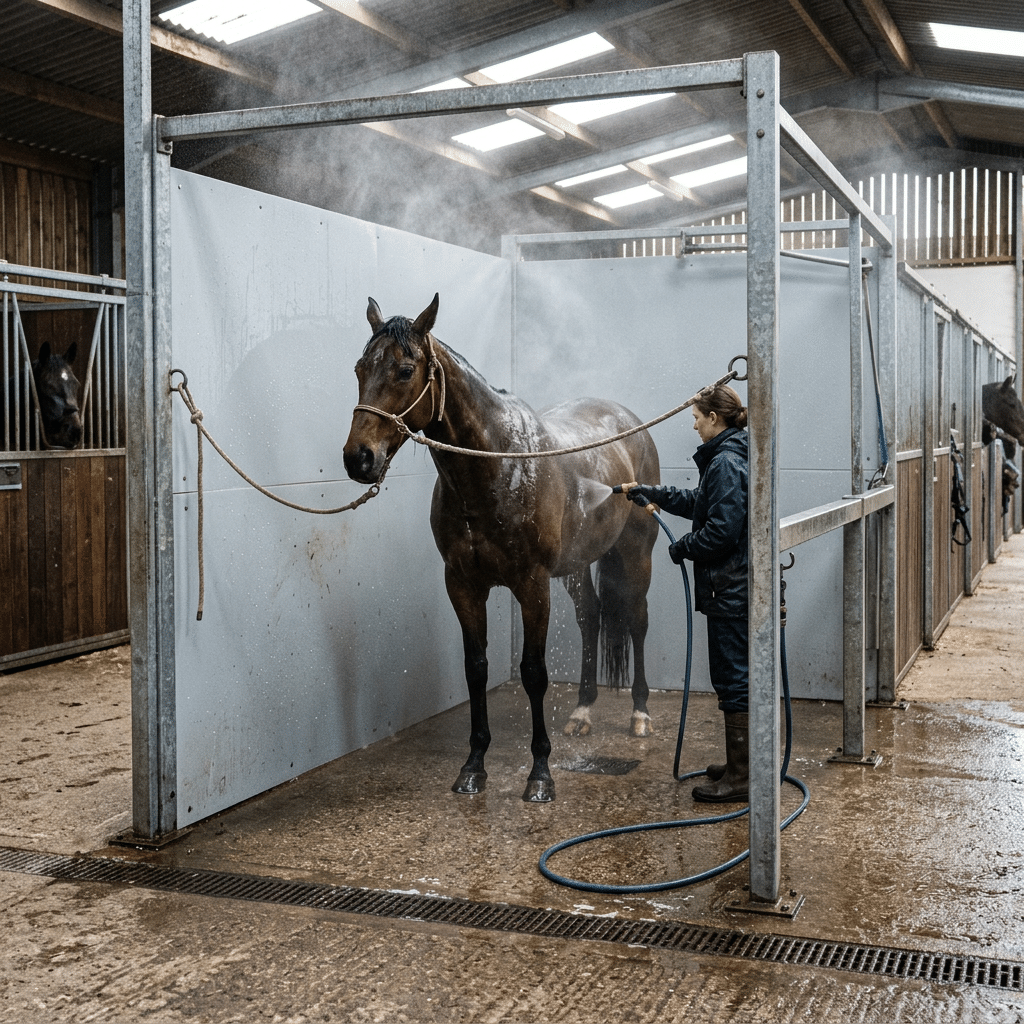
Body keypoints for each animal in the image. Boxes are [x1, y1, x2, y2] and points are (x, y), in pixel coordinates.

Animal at [343, 294, 660, 802]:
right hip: (576, 566)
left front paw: (540, 775)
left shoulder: (531, 585)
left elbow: (533, 673)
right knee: (591, 617)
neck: (495, 467)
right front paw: (473, 767)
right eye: (359, 367)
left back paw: (640, 714)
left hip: (636, 556)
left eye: (405, 370)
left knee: (636, 620)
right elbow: (476, 668)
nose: (359, 458)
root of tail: (630, 422)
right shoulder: (463, 584)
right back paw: (582, 712)